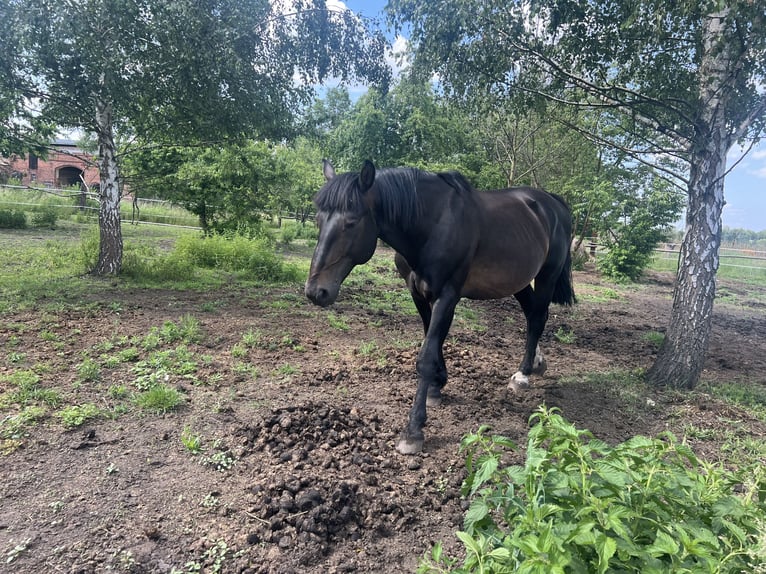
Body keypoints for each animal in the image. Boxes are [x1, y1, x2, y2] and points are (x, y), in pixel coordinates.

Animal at [306, 161, 576, 454]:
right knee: (532, 314)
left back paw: (523, 375)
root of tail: (553, 203)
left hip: (547, 274)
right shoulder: (418, 294)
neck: (432, 226)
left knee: (538, 317)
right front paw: (437, 387)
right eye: (318, 219)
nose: (316, 291)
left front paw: (413, 430)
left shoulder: (447, 296)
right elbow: (432, 340)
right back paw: (536, 362)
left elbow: (426, 355)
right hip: (519, 280)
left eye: (351, 222)